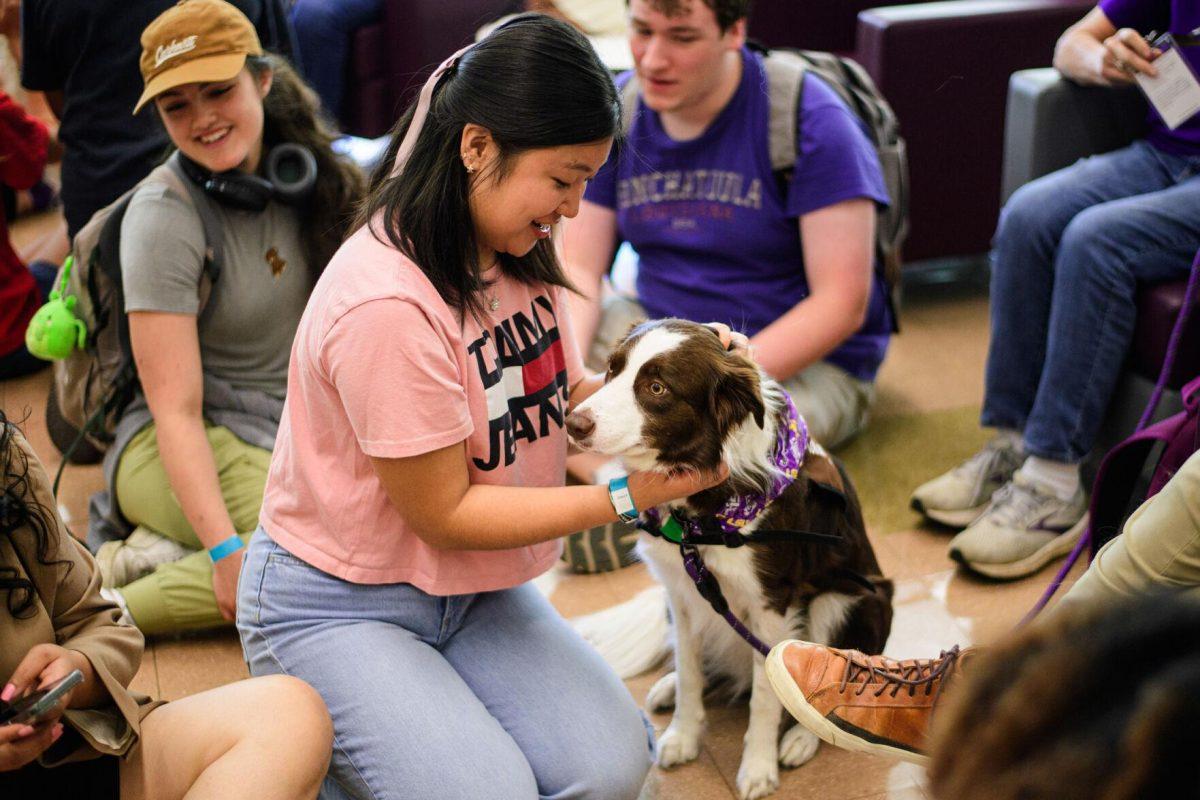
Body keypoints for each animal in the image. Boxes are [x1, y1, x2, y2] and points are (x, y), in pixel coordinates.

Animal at [568, 319, 892, 800]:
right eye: (612, 369)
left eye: (657, 388)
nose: (573, 422)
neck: (698, 519)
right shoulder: (680, 589)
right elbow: (688, 670)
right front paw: (683, 735)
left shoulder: (771, 603)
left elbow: (765, 696)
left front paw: (758, 767)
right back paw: (668, 688)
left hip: (849, 601)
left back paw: (801, 738)